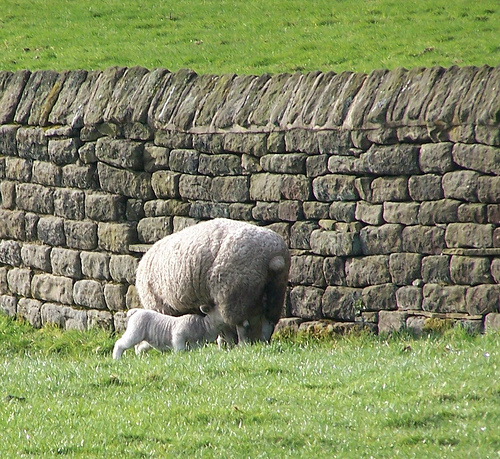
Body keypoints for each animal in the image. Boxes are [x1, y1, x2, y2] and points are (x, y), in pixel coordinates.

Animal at [135, 218, 290, 344]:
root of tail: (275, 258)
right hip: (275, 289)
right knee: (268, 321)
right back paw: (262, 342)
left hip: (234, 293)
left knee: (241, 325)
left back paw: (242, 345)